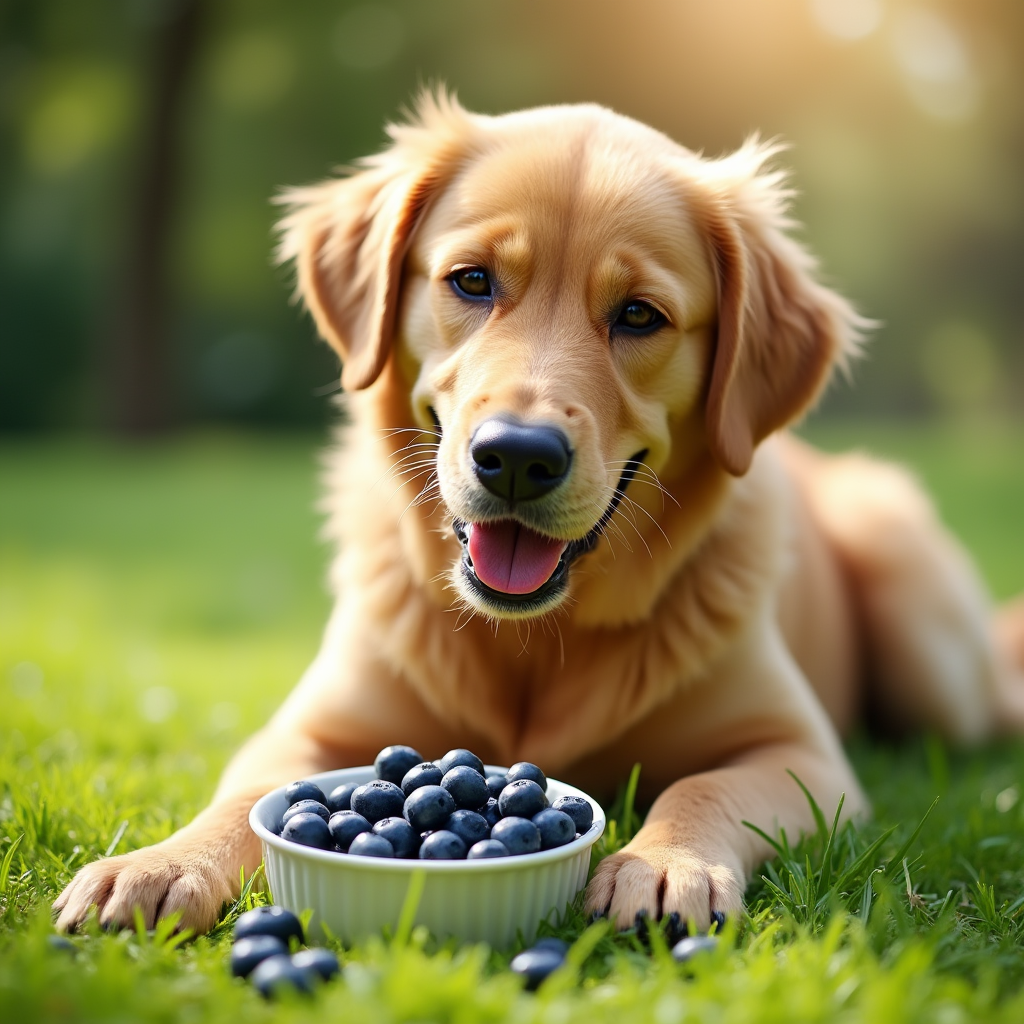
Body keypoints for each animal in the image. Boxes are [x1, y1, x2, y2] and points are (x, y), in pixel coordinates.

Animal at [54, 92, 1024, 933]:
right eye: (472, 281)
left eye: (639, 315)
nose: (518, 457)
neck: (532, 642)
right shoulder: (309, 729)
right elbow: (236, 802)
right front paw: (158, 864)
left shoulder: (801, 754)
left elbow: (700, 785)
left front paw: (660, 864)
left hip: (919, 617)